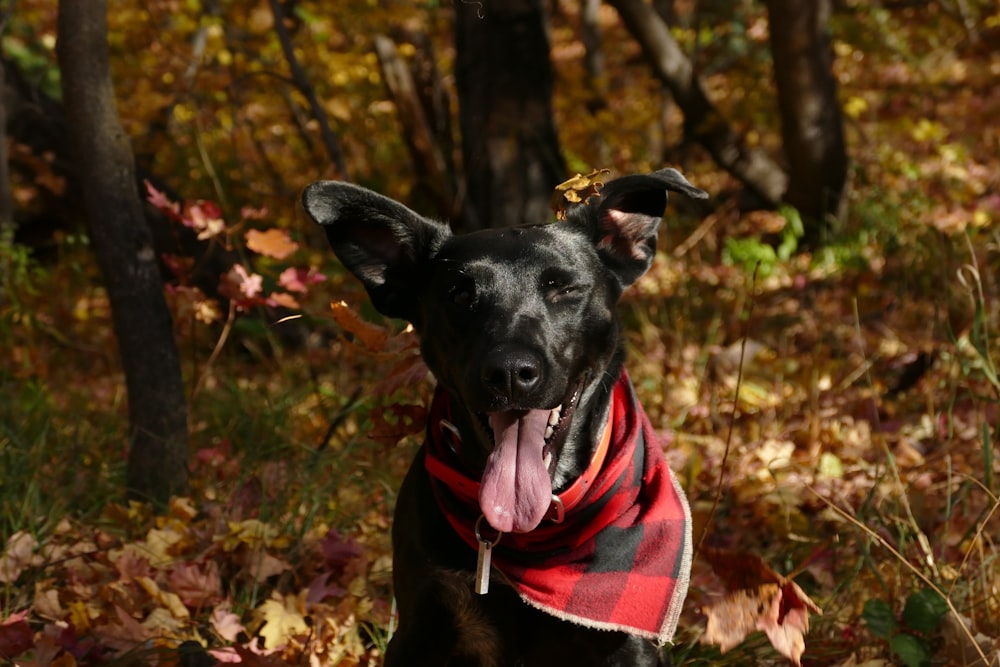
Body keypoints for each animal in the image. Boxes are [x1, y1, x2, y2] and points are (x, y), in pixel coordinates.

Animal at [300, 170, 708, 664]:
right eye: (459, 294)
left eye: (564, 288)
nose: (510, 372)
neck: (532, 531)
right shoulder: (419, 628)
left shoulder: (628, 641)